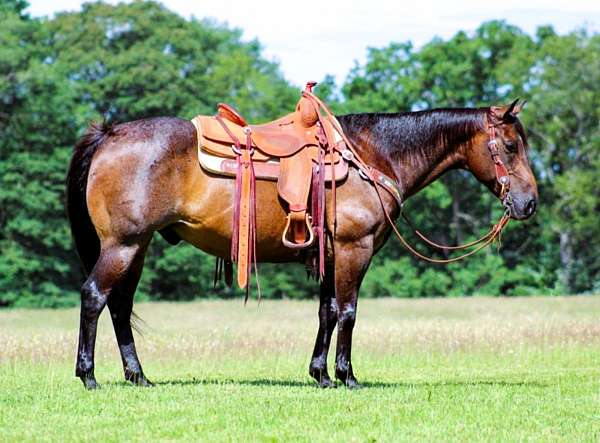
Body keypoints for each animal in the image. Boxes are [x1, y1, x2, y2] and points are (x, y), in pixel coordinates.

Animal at [67, 99, 540, 388]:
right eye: (510, 145)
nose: (529, 202)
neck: (373, 157)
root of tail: (109, 134)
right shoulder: (353, 248)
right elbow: (348, 311)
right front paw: (347, 376)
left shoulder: (330, 254)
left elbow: (326, 311)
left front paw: (321, 374)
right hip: (123, 245)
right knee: (94, 296)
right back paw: (88, 375)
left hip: (138, 246)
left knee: (120, 305)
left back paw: (138, 376)